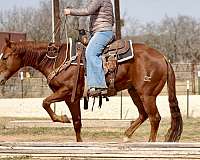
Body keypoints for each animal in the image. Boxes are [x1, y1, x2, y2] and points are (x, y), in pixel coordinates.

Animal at [0, 38, 182, 141]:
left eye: (5, 57)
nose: (0, 79)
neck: (55, 59)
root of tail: (163, 57)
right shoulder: (71, 99)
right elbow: (77, 123)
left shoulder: (66, 92)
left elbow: (45, 103)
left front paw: (62, 118)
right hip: (134, 92)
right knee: (143, 115)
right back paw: (126, 135)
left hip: (147, 95)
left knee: (154, 118)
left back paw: (150, 143)